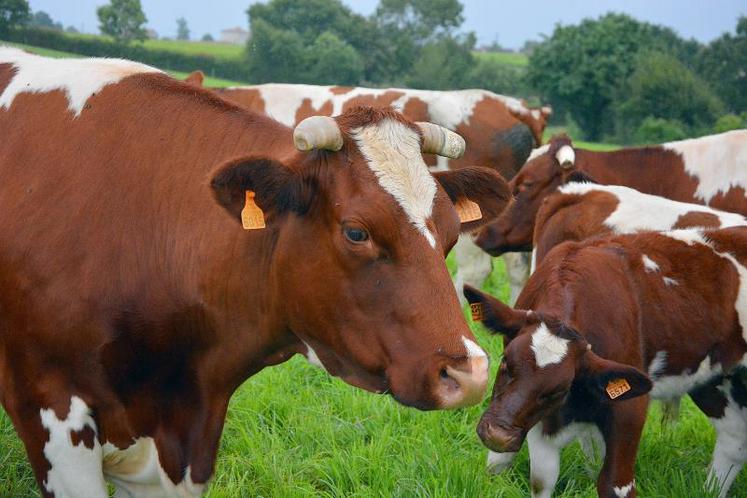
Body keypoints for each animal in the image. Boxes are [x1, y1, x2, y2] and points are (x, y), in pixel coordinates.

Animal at [464, 226, 747, 498]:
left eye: (559, 389)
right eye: (505, 363)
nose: (498, 436)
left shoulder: (628, 408)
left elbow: (614, 485)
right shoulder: (539, 419)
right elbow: (541, 480)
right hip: (712, 379)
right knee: (734, 438)